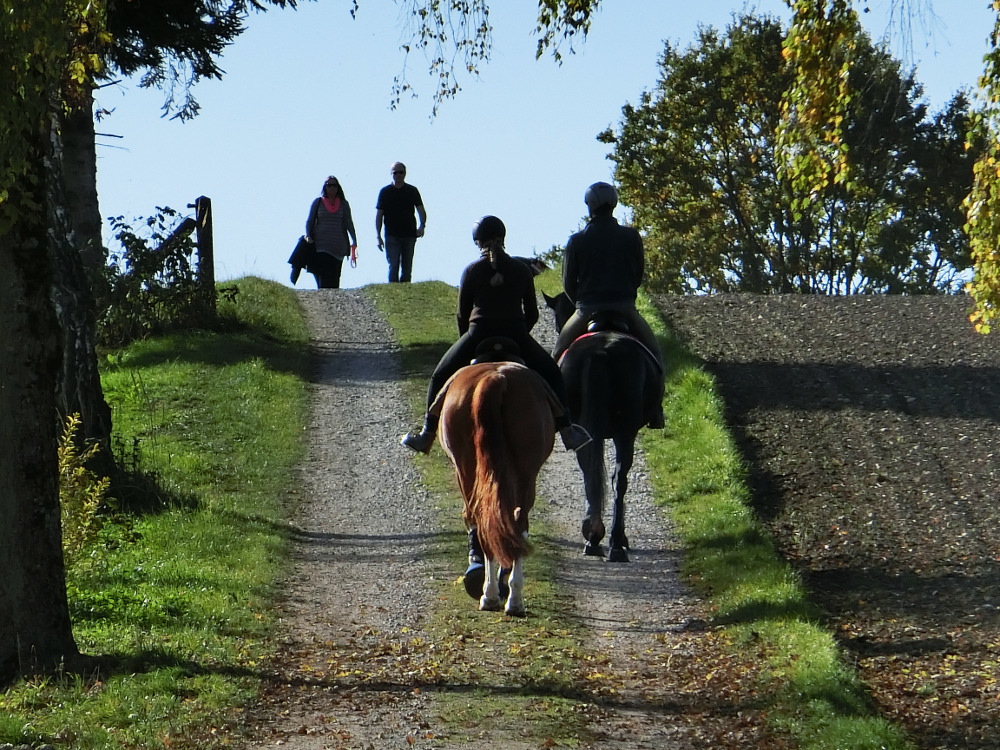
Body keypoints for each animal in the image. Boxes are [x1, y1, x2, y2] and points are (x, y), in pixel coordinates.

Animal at [440, 362, 560, 612]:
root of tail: (495, 378)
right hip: (522, 476)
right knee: (513, 523)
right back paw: (510, 597)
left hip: (468, 470)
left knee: (487, 520)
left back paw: (494, 594)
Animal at [540, 294, 664, 564]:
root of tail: (601, 351)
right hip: (625, 432)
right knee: (619, 478)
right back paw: (613, 542)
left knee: (591, 469)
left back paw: (595, 536)